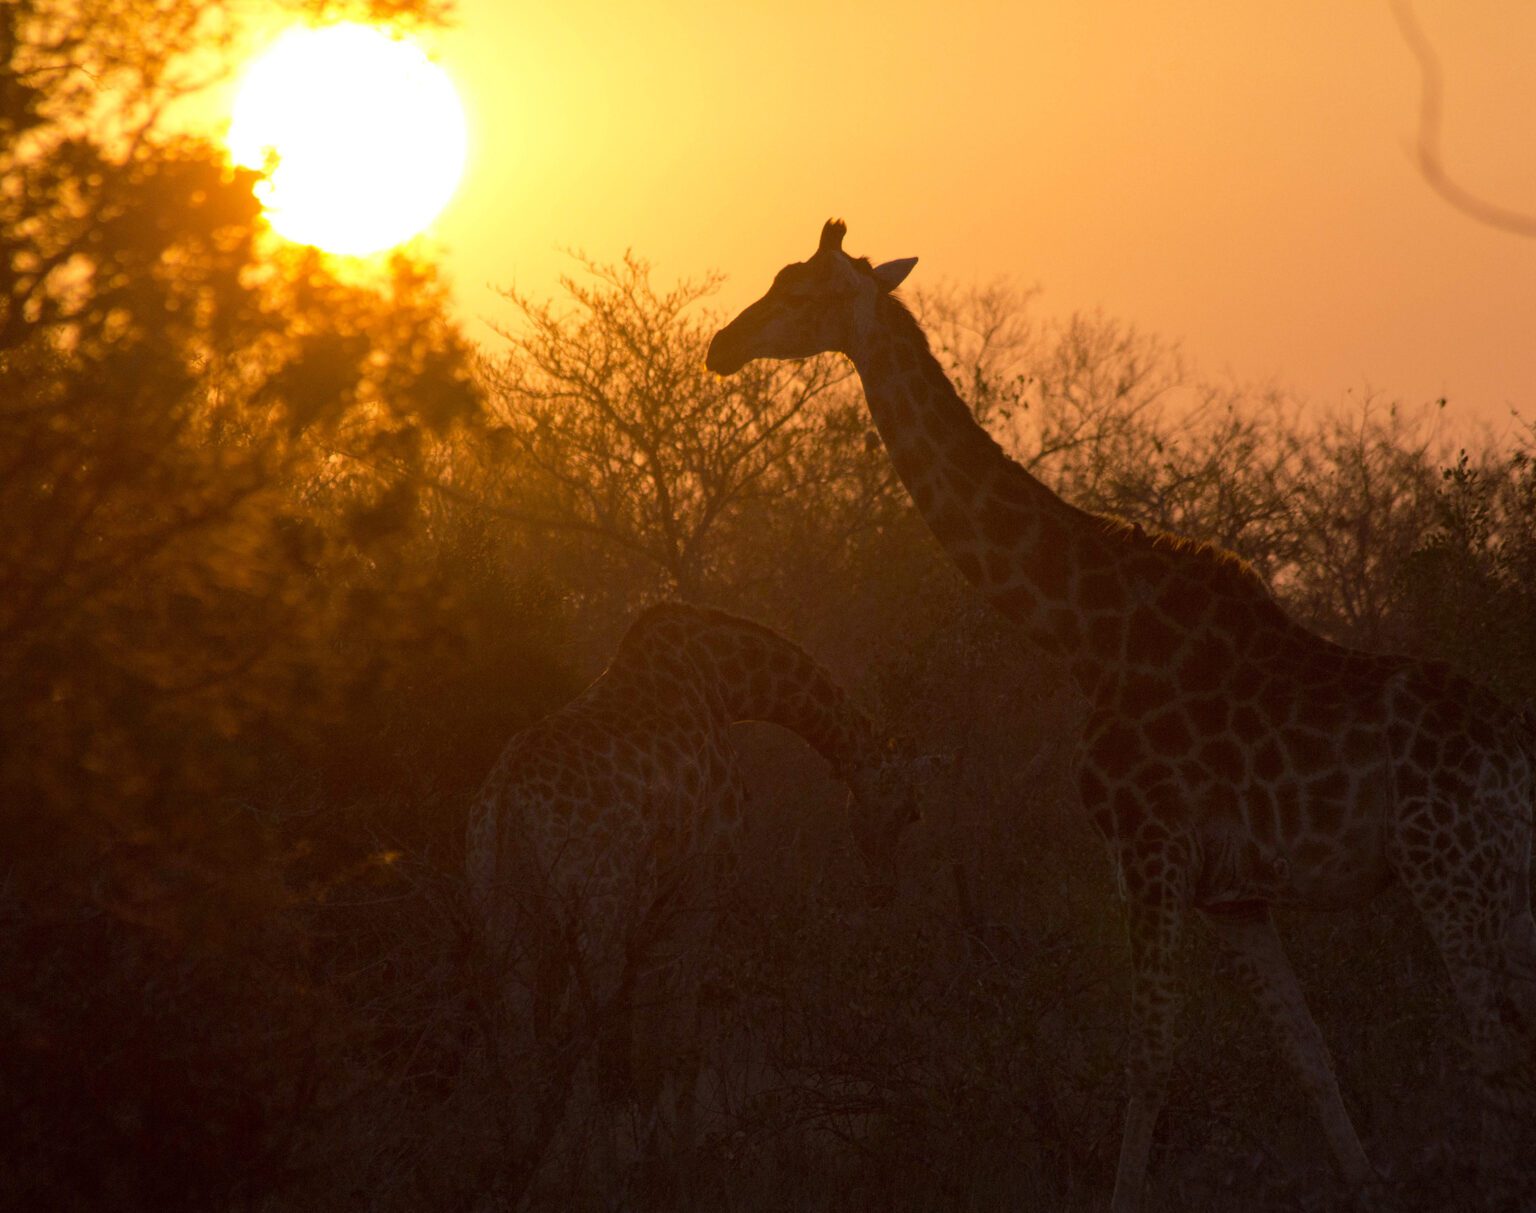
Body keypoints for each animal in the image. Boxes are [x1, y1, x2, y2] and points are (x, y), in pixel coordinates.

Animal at [465, 600, 929, 1172]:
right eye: (910, 810)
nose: (885, 889)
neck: (728, 684)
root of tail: (507, 802)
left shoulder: (655, 915)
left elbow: (649, 1051)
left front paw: (654, 1152)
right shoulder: (701, 898)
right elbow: (680, 1048)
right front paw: (679, 1159)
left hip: (505, 920)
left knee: (520, 1043)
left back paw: (525, 1161)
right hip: (597, 920)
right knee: (581, 1042)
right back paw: (590, 1167)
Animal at [707, 220, 1536, 1211]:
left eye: (797, 290)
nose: (720, 346)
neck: (1083, 630)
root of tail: (1517, 757)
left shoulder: (1150, 848)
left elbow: (1148, 1058)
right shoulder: (1234, 891)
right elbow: (1306, 1051)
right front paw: (1367, 1186)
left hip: (1447, 868)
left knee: (1494, 1040)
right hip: (1502, 880)